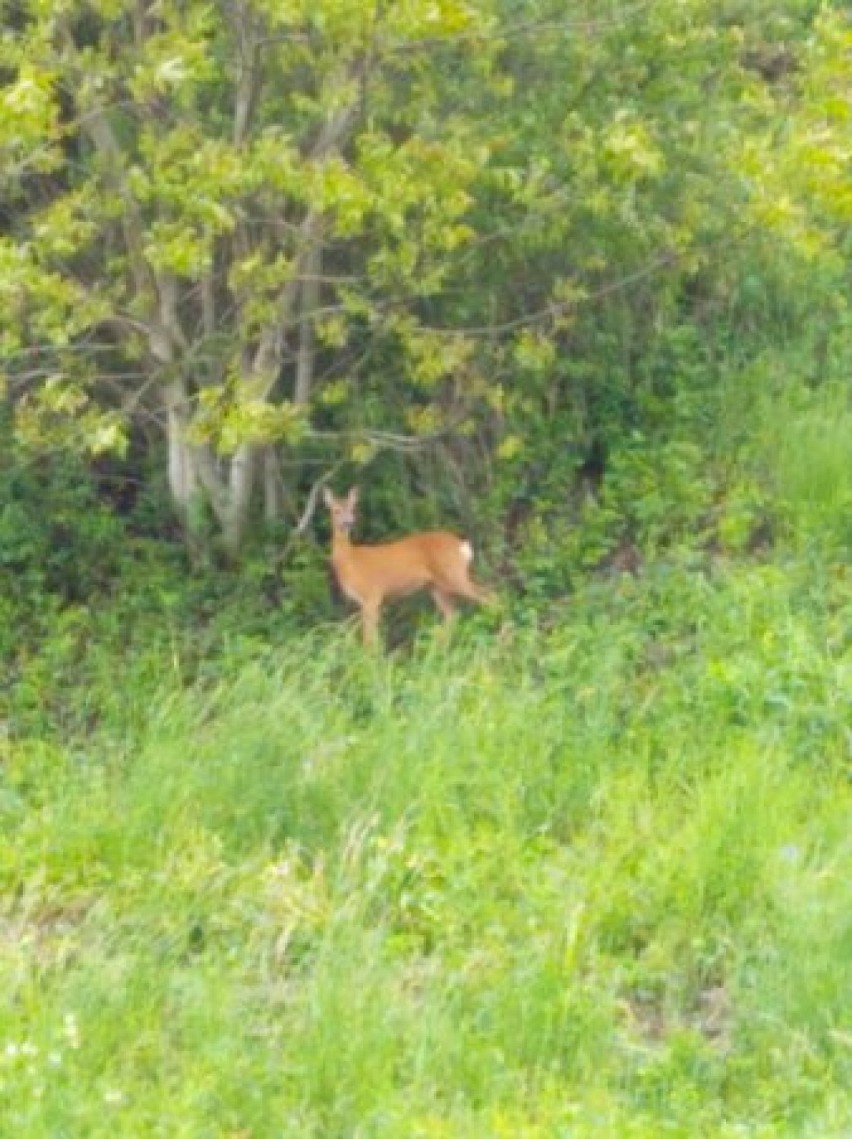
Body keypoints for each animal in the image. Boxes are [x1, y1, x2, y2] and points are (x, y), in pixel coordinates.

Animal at [321, 487, 496, 651]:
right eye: (336, 510)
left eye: (352, 509)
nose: (348, 523)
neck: (350, 561)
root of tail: (462, 546)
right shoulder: (365, 602)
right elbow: (372, 638)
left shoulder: (372, 595)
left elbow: (369, 639)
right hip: (436, 586)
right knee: (453, 614)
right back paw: (442, 650)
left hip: (453, 574)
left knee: (488, 595)